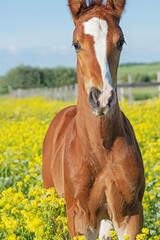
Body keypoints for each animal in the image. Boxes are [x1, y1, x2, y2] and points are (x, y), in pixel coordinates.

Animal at [42, 0, 145, 239]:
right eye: (76, 44)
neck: (101, 150)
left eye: (120, 42)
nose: (102, 99)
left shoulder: (130, 215)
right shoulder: (79, 216)